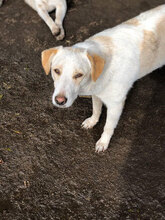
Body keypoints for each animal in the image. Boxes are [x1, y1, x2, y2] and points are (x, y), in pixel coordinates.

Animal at [41, 5, 165, 153]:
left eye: (79, 75)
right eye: (56, 71)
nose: (59, 101)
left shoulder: (116, 106)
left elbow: (108, 127)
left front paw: (103, 142)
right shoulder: (96, 94)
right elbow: (96, 110)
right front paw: (92, 121)